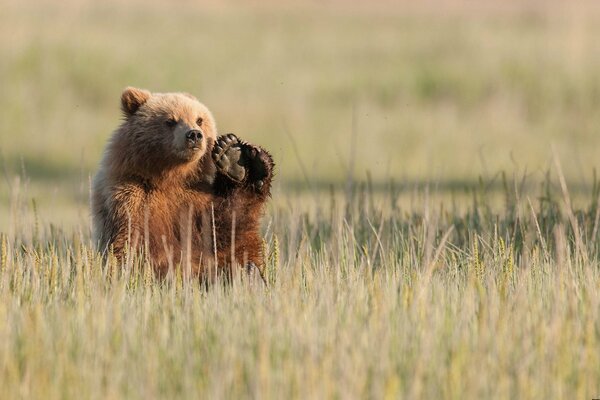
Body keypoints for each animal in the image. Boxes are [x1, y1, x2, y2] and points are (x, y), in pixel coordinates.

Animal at [91, 86, 274, 280]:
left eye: (199, 119)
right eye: (170, 121)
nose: (194, 134)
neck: (168, 177)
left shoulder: (195, 200)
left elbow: (225, 230)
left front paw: (232, 155)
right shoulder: (131, 198)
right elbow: (133, 244)